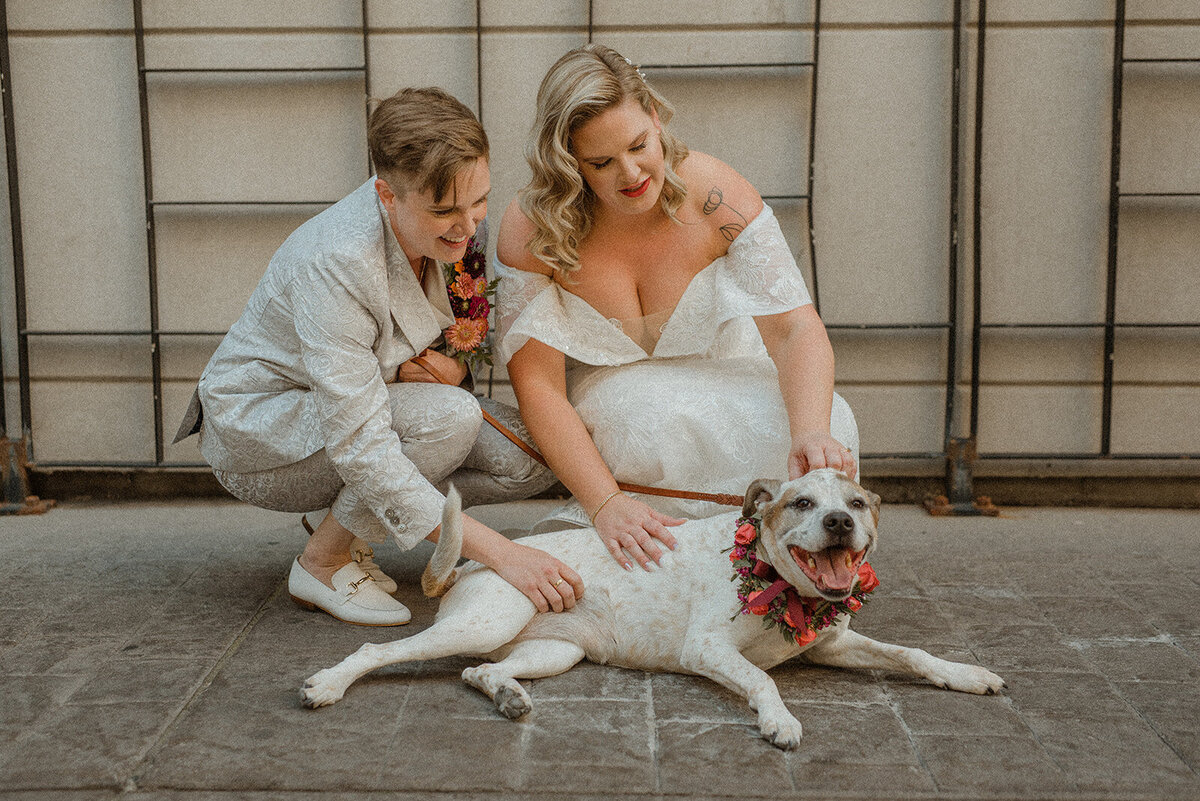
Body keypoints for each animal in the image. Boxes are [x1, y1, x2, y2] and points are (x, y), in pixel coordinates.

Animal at [300, 470, 1003, 753]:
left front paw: (967, 674)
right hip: (486, 622)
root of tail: (476, 565)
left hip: (554, 650)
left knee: (481, 672)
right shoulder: (708, 649)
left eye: (857, 503)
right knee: (380, 652)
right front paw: (778, 721)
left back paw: (508, 696)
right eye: (801, 503)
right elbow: (763, 678)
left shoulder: (834, 643)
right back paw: (328, 684)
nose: (838, 522)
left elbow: (912, 654)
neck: (780, 583)